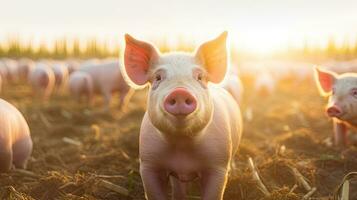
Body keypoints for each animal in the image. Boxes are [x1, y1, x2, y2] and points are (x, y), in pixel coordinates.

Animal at [122, 32, 242, 200]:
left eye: (199, 77)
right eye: (158, 77)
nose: (180, 92)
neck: (181, 144)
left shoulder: (218, 165)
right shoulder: (148, 164)